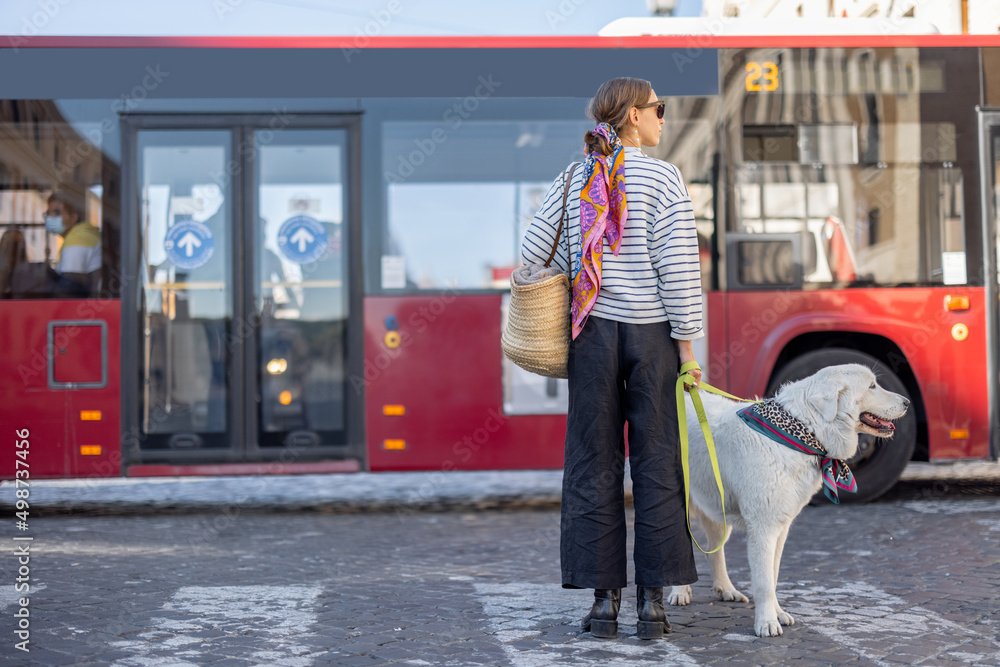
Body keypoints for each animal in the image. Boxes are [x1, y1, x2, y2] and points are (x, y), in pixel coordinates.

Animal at [668, 366, 912, 636]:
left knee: (715, 551)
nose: (907, 402)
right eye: (871, 386)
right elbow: (764, 582)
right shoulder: (763, 529)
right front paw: (766, 623)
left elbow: (773, 576)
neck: (802, 433)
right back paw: (680, 592)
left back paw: (726, 589)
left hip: (717, 508)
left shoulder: (780, 527)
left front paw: (778, 614)